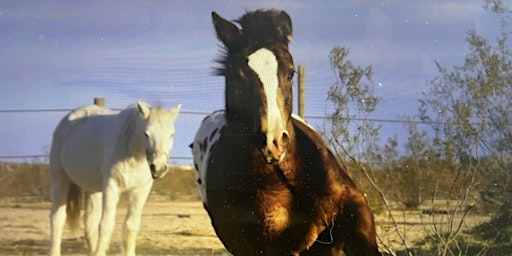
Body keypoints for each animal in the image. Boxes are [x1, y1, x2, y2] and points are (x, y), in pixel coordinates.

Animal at [48, 102, 180, 256]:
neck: (131, 151)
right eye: (146, 134)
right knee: (57, 218)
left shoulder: (140, 191)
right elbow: (106, 225)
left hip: (93, 189)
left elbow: (131, 226)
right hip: (60, 179)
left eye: (172, 134)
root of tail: (68, 120)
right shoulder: (112, 187)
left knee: (90, 224)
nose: (158, 168)